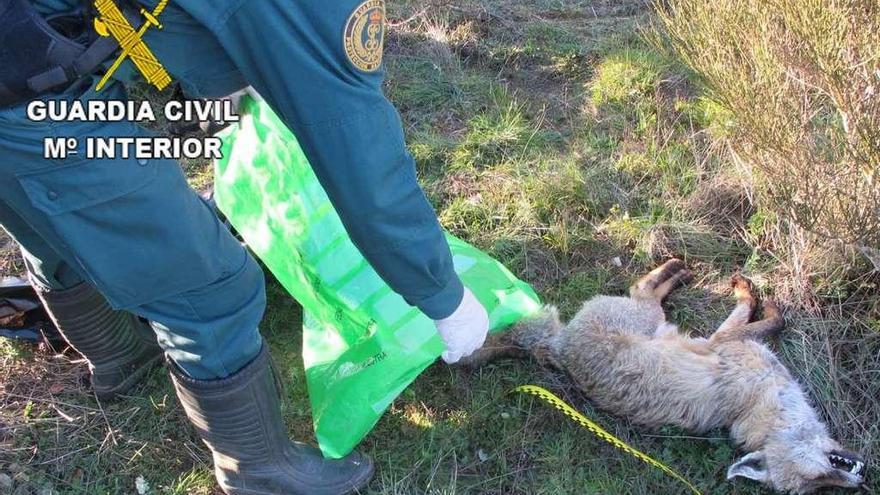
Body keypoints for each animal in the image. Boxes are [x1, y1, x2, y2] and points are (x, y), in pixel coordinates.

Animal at [468, 262, 868, 494]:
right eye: (819, 480)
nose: (860, 482)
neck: (760, 408)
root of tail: (556, 349)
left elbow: (766, 321)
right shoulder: (724, 342)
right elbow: (767, 319)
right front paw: (751, 294)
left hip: (649, 319)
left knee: (643, 289)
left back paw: (677, 271)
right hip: (646, 316)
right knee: (641, 287)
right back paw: (676, 268)